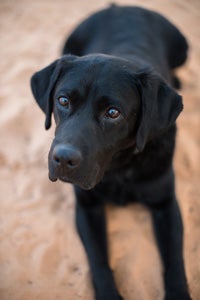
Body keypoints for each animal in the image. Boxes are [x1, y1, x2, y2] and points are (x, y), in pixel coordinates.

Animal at [30, 4, 191, 300]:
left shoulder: (165, 203)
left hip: (183, 48)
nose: (63, 159)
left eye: (113, 113)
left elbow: (174, 260)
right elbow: (98, 259)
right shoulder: (87, 206)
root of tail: (123, 6)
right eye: (63, 100)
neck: (119, 167)